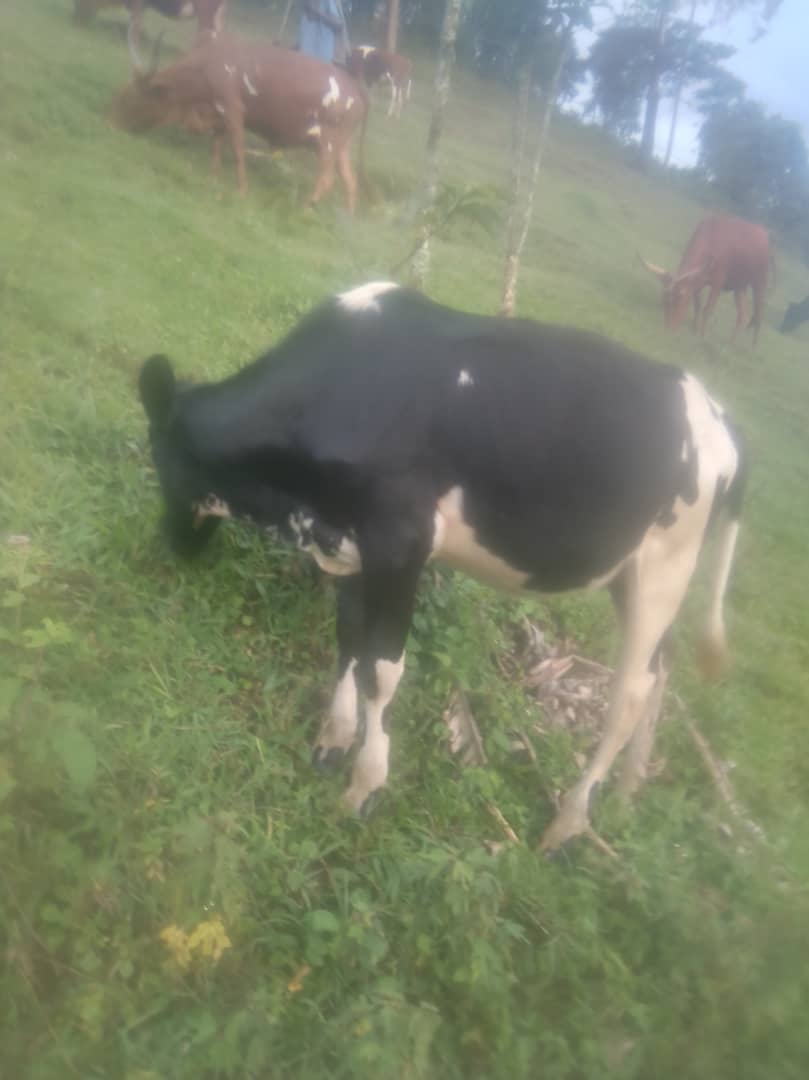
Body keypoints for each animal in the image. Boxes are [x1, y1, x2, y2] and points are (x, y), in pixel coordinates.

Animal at [109, 33, 368, 212]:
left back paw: (306, 208)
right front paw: (213, 178)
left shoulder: (233, 109)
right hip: (341, 147)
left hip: (327, 143)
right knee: (350, 181)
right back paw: (348, 218)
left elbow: (237, 150)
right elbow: (216, 146)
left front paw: (242, 191)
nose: (110, 124)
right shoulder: (218, 116)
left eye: (131, 98)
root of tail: (356, 88)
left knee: (327, 179)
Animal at [137, 282, 746, 852]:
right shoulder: (351, 541)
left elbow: (380, 672)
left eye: (162, 461)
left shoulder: (400, 540)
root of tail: (720, 423)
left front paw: (363, 787)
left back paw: (569, 823)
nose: (172, 544)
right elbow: (348, 637)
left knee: (629, 694)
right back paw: (625, 792)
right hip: (632, 574)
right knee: (662, 669)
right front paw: (333, 738)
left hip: (665, 565)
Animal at [640, 214, 772, 344]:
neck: (711, 239)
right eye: (664, 301)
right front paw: (695, 330)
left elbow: (707, 309)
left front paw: (702, 336)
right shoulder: (698, 281)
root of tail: (765, 236)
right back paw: (730, 343)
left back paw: (753, 346)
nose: (668, 329)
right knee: (742, 315)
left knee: (759, 313)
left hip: (760, 283)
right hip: (740, 287)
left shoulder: (718, 282)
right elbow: (698, 305)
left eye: (681, 299)